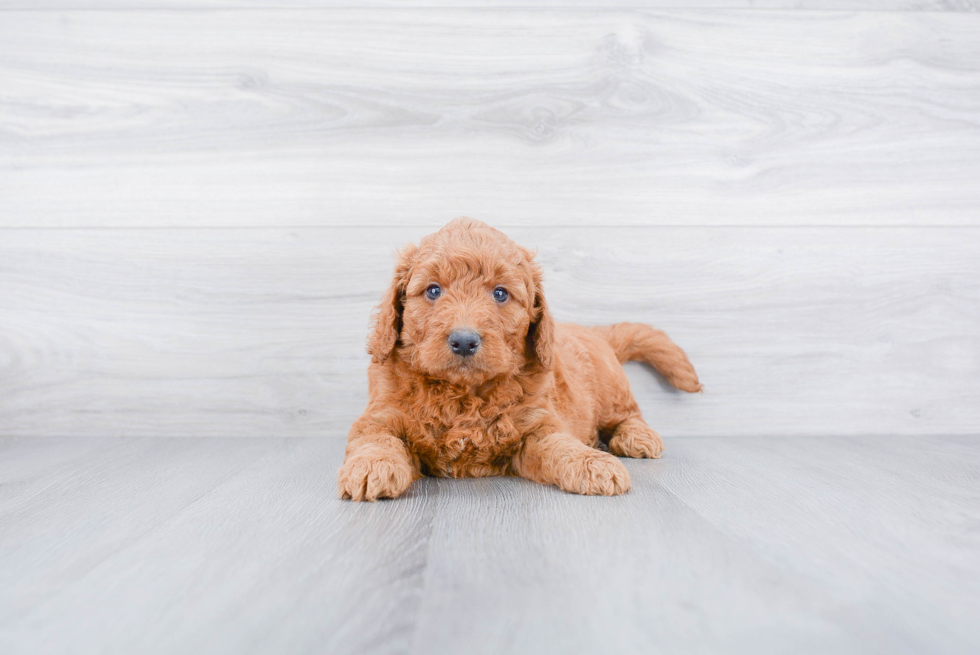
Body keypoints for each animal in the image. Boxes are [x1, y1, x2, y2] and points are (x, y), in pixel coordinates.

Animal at [340, 218, 700, 500]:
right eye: (432, 290)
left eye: (500, 293)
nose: (464, 341)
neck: (464, 395)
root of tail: (594, 331)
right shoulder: (380, 414)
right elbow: (376, 439)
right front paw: (371, 466)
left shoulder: (537, 425)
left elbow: (560, 445)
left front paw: (591, 463)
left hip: (611, 388)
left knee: (629, 414)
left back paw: (636, 437)